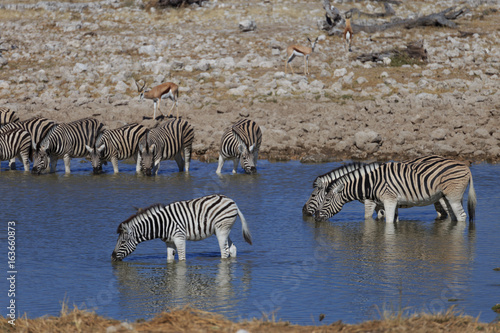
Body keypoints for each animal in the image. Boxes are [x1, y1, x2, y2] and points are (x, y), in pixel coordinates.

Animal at [111, 193, 252, 260]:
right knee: (232, 249)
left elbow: (182, 259)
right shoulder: (168, 241)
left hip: (222, 229)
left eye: (122, 242)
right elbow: (170, 258)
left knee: (224, 251)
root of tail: (232, 202)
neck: (161, 224)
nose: (112, 257)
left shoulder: (179, 237)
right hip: (223, 230)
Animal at [316, 158, 476, 226]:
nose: (316, 217)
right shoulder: (393, 202)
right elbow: (394, 221)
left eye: (327, 200)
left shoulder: (388, 200)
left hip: (453, 196)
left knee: (461, 216)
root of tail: (465, 167)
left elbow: (386, 221)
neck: (370, 183)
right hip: (445, 197)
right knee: (453, 217)